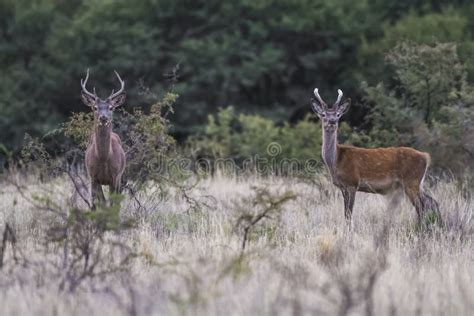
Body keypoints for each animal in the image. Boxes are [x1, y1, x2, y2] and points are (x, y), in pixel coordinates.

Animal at [80, 69, 127, 207]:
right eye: (95, 107)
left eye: (111, 107)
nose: (103, 117)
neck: (103, 158)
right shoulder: (93, 176)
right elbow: (97, 204)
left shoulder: (115, 176)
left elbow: (112, 204)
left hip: (120, 177)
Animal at [310, 89, 438, 225]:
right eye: (323, 114)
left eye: (338, 114)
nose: (332, 121)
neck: (336, 161)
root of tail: (426, 156)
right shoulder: (343, 187)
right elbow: (346, 214)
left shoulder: (352, 183)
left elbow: (349, 215)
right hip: (418, 183)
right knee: (432, 202)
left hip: (412, 181)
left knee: (422, 207)